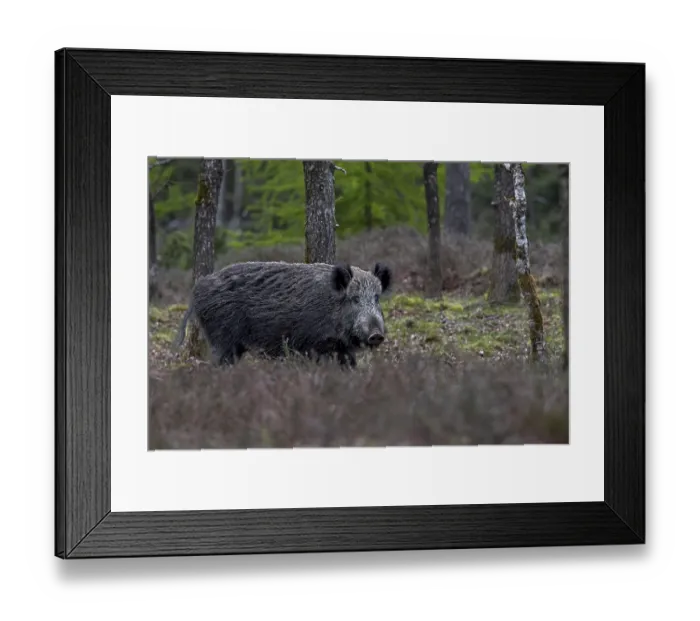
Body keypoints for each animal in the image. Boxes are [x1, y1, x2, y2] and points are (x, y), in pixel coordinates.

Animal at [173, 260, 392, 367]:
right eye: (354, 299)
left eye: (377, 298)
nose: (376, 334)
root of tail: (196, 290)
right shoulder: (312, 345)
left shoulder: (341, 349)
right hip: (223, 337)